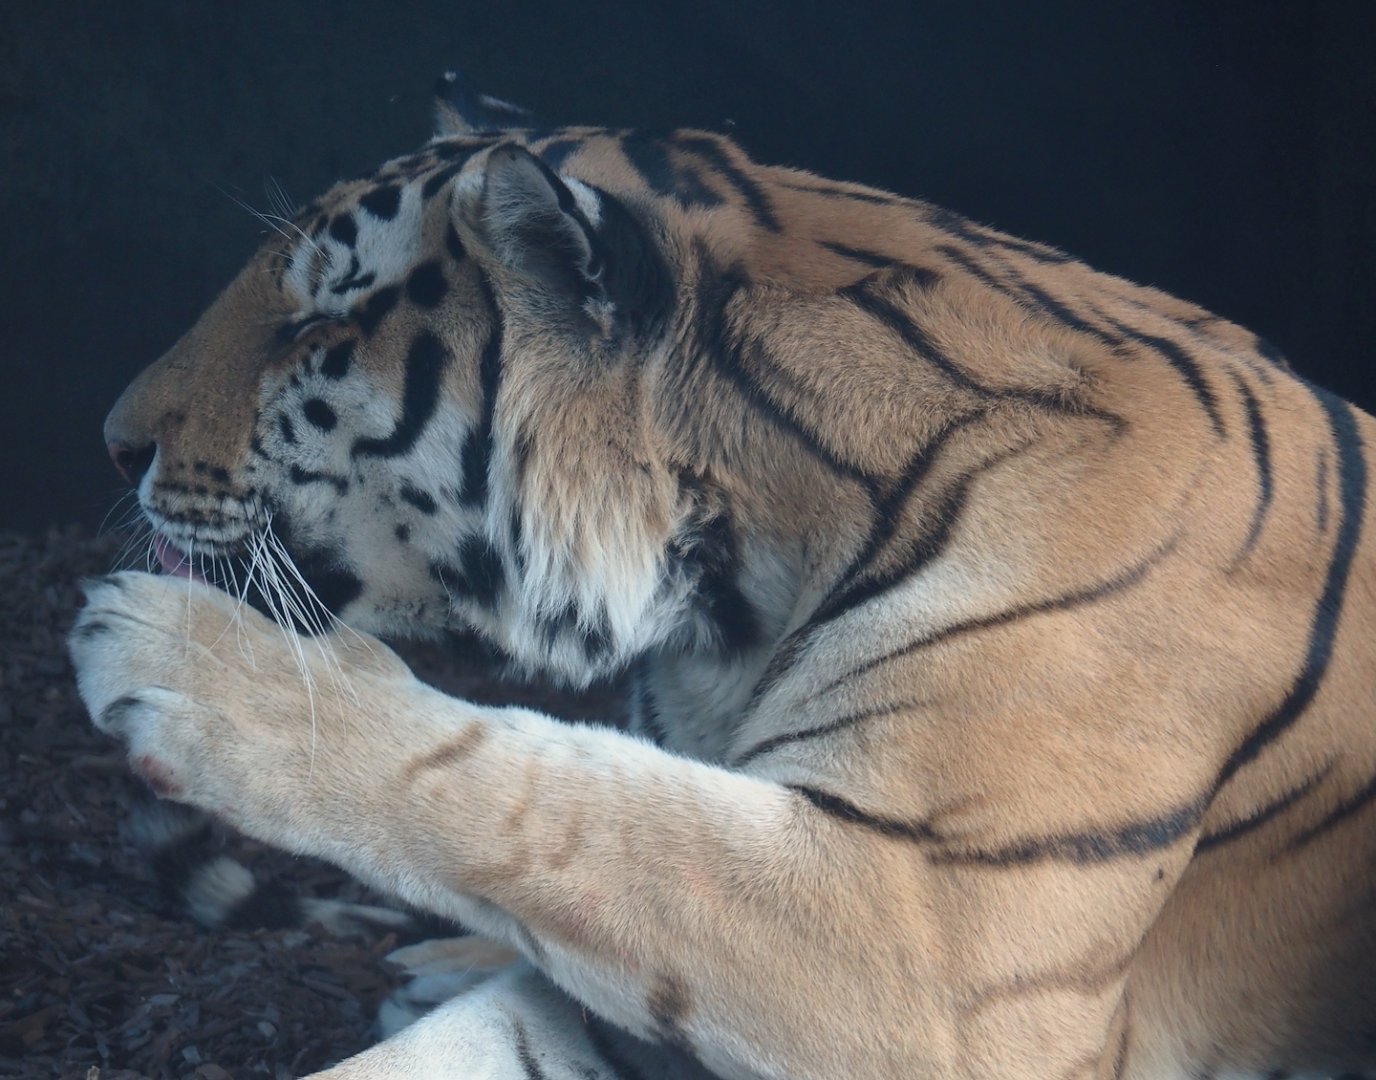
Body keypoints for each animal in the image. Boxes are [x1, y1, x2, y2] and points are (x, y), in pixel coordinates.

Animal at [67, 69, 1376, 1079]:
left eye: (316, 330)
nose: (115, 442)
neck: (735, 592)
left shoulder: (921, 942)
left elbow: (581, 808)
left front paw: (191, 663)